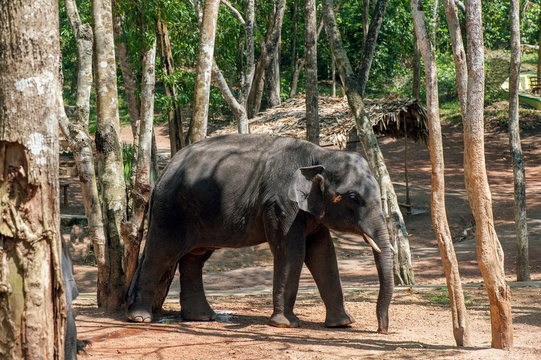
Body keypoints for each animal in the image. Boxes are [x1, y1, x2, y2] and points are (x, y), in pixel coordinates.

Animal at [129, 134, 394, 334]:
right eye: (353, 197)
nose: (381, 330)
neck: (319, 155)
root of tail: (163, 171)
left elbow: (323, 254)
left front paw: (342, 324)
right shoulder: (280, 203)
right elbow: (292, 252)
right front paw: (285, 324)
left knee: (195, 258)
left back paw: (202, 318)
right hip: (170, 210)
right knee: (160, 254)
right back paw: (140, 318)